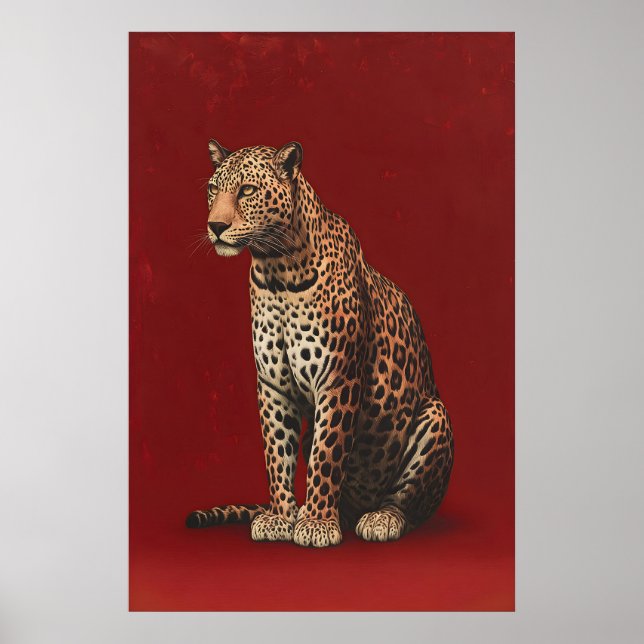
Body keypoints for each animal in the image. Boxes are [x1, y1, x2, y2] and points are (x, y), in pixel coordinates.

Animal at [186, 139, 454, 547]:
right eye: (214, 189)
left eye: (246, 190)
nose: (215, 226)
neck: (276, 270)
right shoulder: (273, 385)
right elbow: (277, 453)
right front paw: (281, 517)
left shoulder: (337, 378)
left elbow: (327, 454)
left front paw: (315, 523)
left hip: (436, 418)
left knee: (409, 505)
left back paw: (379, 519)